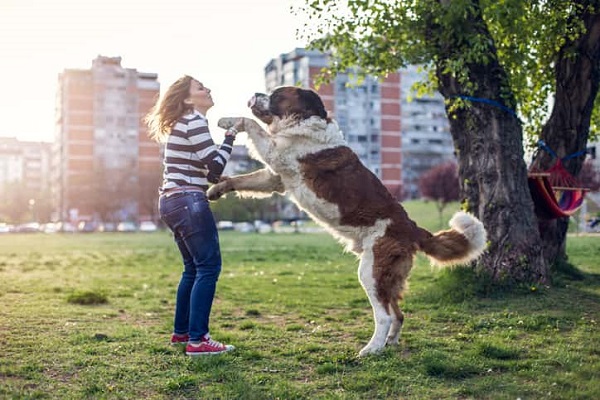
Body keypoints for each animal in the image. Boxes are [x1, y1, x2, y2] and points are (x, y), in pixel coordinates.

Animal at [207, 86, 488, 356]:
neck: (303, 121)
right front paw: (216, 189)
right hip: (386, 277)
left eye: (276, 94)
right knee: (398, 313)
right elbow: (244, 179)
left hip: (371, 271)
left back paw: (372, 349)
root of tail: (412, 227)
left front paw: (227, 120)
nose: (255, 94)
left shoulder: (278, 154)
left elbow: (251, 124)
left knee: (384, 315)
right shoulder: (275, 177)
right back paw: (389, 343)